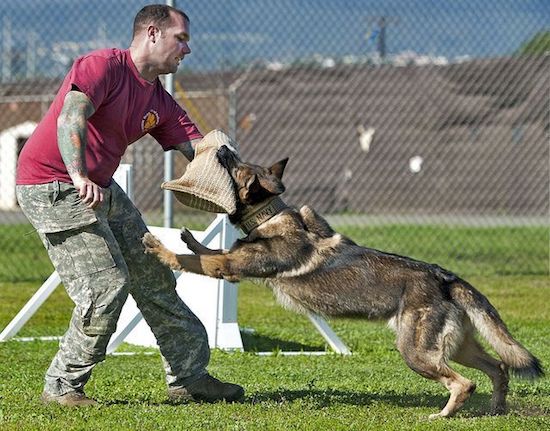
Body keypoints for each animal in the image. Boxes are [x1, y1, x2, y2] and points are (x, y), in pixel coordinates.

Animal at [142, 145, 544, 418]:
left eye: (237, 167)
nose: (223, 148)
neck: (269, 216)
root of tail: (445, 277)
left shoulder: (230, 267)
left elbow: (199, 259)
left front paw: (160, 247)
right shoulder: (229, 261)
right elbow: (208, 249)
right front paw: (188, 239)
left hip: (415, 352)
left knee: (465, 382)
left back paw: (443, 414)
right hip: (457, 347)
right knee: (500, 367)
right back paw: (495, 410)